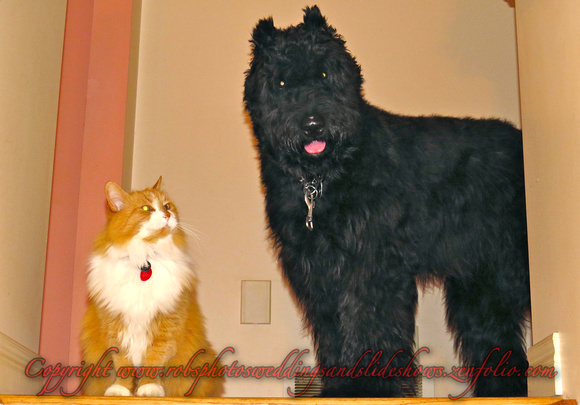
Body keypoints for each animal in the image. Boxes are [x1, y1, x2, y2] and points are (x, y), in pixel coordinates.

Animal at [79, 177, 220, 394]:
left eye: (167, 206)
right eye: (146, 208)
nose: (168, 215)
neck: (144, 260)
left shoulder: (166, 324)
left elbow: (153, 361)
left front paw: (149, 388)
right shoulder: (116, 325)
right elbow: (123, 364)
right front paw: (121, 390)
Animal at [242, 5, 528, 398]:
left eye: (325, 72)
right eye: (281, 83)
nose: (313, 124)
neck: (324, 179)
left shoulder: (371, 266)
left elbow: (366, 324)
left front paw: (366, 386)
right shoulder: (318, 271)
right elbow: (334, 331)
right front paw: (339, 385)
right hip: (481, 286)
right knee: (496, 341)